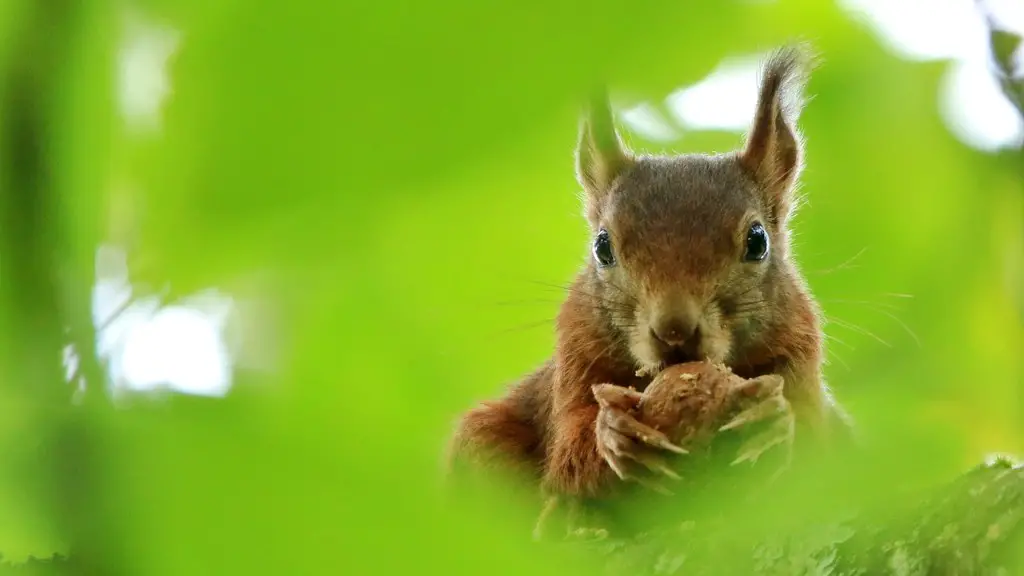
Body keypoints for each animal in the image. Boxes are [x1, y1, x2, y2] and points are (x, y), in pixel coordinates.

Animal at [444, 47, 851, 516]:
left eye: (757, 240)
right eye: (603, 246)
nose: (674, 331)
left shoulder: (798, 349)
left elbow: (813, 447)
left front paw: (775, 419)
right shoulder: (576, 355)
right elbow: (569, 458)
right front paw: (615, 433)